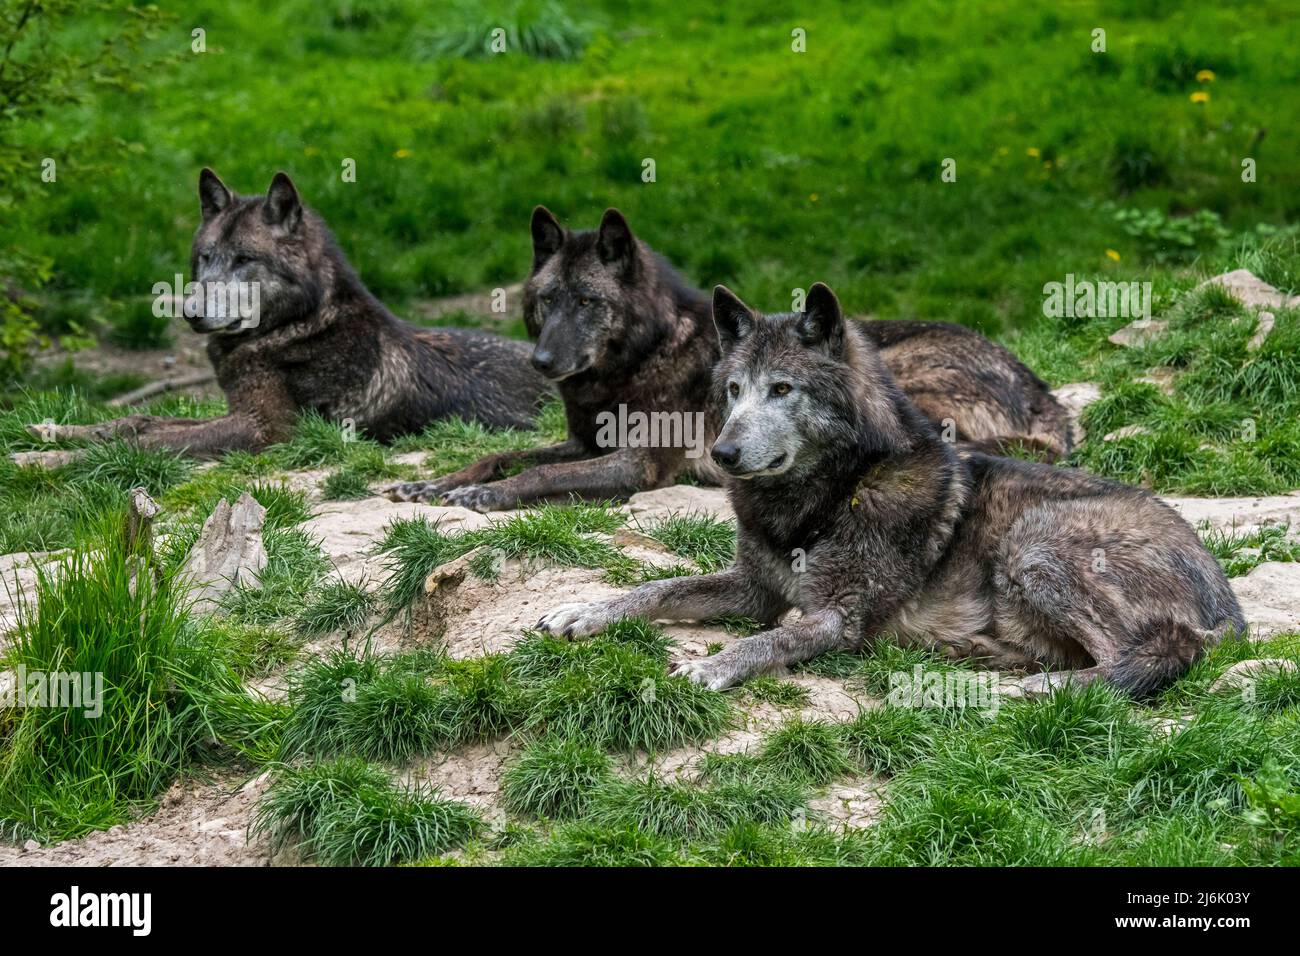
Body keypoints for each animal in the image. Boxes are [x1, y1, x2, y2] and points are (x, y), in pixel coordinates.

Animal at [25, 169, 548, 458]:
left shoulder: (265, 429)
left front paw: (49, 464)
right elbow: (136, 423)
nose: (190, 312)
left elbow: (146, 443)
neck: (296, 327)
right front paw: (50, 435)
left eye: (243, 259)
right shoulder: (236, 411)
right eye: (206, 258)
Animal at [385, 208, 1071, 512]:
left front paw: (484, 496)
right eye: (546, 300)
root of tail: (1042, 392)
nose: (542, 360)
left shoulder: (635, 463)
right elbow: (501, 454)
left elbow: (539, 476)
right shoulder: (584, 443)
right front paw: (436, 482)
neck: (637, 360)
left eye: (587, 301)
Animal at [536, 283, 1244, 697]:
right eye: (733, 390)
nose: (722, 454)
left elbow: (768, 641)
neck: (826, 497)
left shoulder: (835, 620)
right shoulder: (755, 590)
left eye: (782, 389)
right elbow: (658, 588)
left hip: (1034, 547)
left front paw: (710, 666)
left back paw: (1026, 690)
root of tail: (1227, 603)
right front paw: (585, 611)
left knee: (1154, 654)